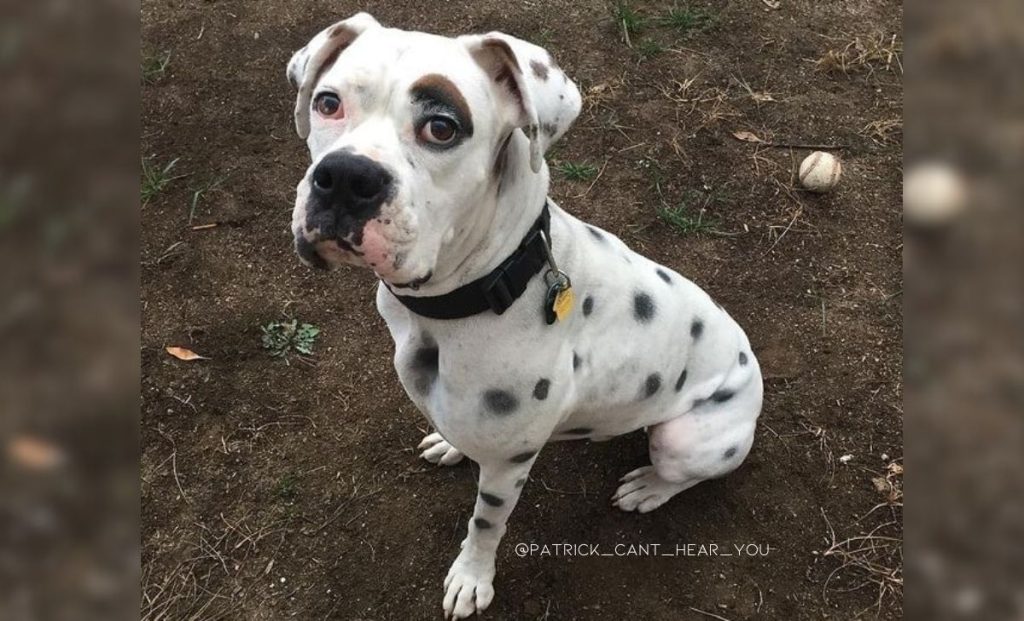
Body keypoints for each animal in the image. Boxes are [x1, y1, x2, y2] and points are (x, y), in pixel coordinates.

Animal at [286, 13, 761, 618]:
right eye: (328, 102)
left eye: (442, 127)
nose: (345, 177)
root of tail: (755, 368)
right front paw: (449, 443)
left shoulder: (508, 465)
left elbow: (485, 525)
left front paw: (472, 579)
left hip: (685, 439)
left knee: (684, 471)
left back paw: (649, 487)